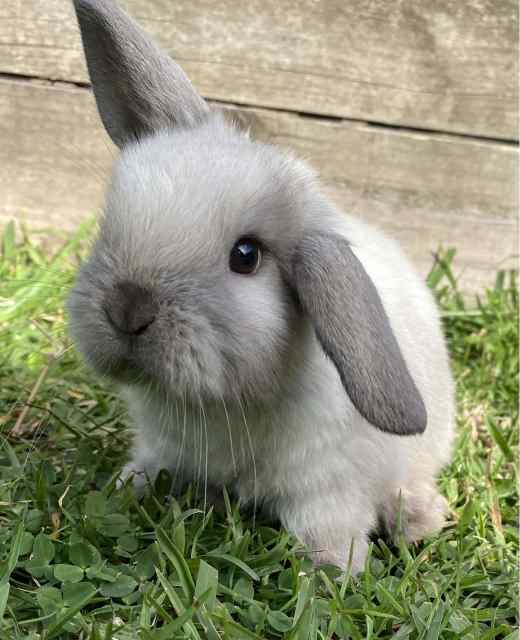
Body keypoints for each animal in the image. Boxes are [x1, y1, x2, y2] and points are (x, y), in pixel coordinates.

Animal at [68, 0, 455, 572]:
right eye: (109, 221)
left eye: (246, 256)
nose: (127, 309)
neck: (221, 405)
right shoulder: (164, 448)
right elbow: (149, 470)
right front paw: (124, 488)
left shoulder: (327, 489)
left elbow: (328, 531)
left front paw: (333, 574)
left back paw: (418, 521)